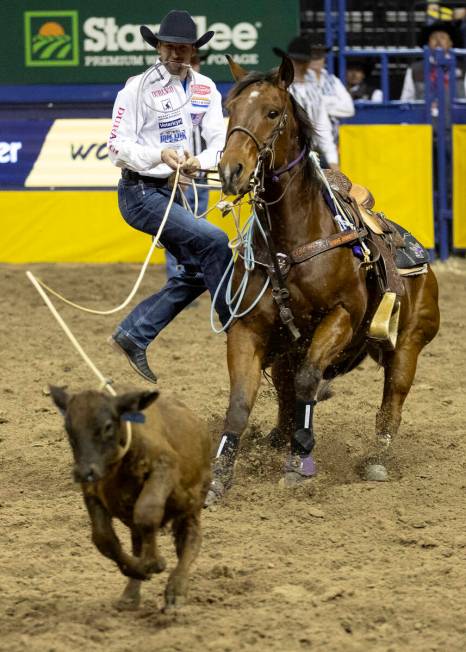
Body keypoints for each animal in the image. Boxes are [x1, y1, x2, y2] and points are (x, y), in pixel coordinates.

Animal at [50, 388, 211, 608]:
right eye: (69, 428)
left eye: (108, 426)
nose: (84, 472)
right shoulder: (92, 493)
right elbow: (103, 538)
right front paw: (140, 569)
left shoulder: (164, 466)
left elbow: (147, 514)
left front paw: (155, 563)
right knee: (139, 542)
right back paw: (131, 595)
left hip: (192, 505)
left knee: (190, 539)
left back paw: (176, 589)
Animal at [205, 56, 440, 504]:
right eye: (230, 109)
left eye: (273, 112)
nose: (231, 170)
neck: (292, 238)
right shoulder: (248, 327)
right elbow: (240, 401)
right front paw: (219, 478)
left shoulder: (342, 316)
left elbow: (309, 381)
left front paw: (299, 462)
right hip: (286, 349)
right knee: (285, 392)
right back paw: (277, 438)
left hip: (408, 345)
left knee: (390, 406)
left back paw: (375, 460)